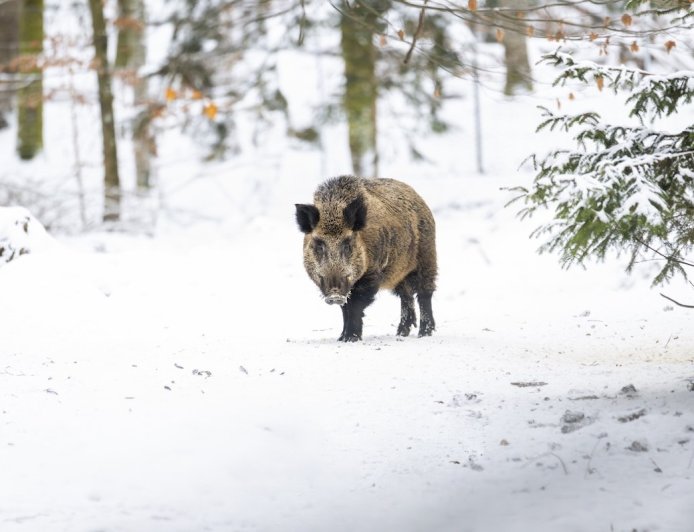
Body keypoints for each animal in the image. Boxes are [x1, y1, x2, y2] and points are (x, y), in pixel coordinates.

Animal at [295, 175, 437, 342]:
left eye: (347, 245)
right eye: (319, 246)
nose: (335, 294)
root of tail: (419, 198)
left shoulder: (371, 274)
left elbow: (355, 305)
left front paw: (351, 338)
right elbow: (345, 309)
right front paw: (341, 338)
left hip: (427, 257)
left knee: (424, 294)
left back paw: (424, 333)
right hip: (399, 272)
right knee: (406, 296)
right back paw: (401, 333)